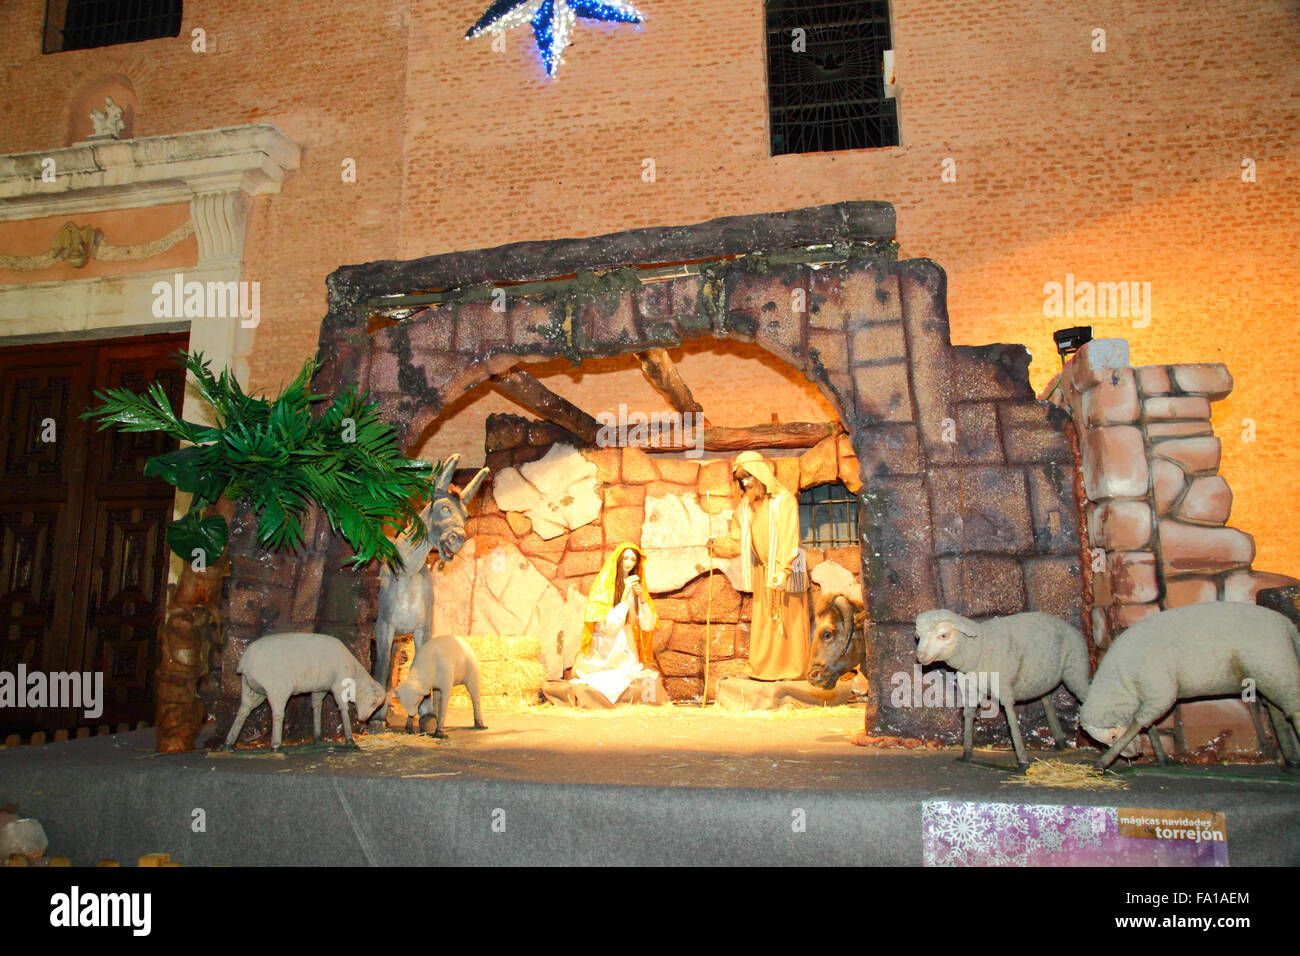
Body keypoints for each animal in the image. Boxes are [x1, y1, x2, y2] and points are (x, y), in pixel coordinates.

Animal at [224, 632, 384, 749]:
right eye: (373, 702)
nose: (363, 719)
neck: (355, 675)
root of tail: (245, 662)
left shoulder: (319, 688)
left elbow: (317, 706)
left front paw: (317, 737)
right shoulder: (339, 685)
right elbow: (343, 708)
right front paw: (350, 740)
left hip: (251, 688)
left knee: (243, 711)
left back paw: (228, 744)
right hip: (277, 689)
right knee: (277, 714)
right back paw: (276, 745)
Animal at [920, 613, 1092, 770]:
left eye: (944, 635)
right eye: (918, 635)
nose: (920, 656)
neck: (980, 647)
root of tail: (1071, 628)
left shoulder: (1004, 686)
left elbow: (1010, 716)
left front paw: (1022, 761)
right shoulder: (969, 688)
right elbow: (968, 715)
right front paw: (967, 754)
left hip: (1075, 670)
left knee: (1086, 695)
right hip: (1043, 677)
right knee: (1047, 699)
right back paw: (1060, 741)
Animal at [1076, 600, 1300, 775]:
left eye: (1113, 737)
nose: (1135, 755)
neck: (1124, 679)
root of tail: (1287, 625)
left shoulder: (1159, 690)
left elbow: (1139, 723)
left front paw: (1103, 762)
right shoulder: (1151, 693)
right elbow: (1150, 727)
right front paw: (1163, 759)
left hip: (1276, 669)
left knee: (1293, 709)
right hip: (1268, 675)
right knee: (1278, 713)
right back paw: (1291, 760)